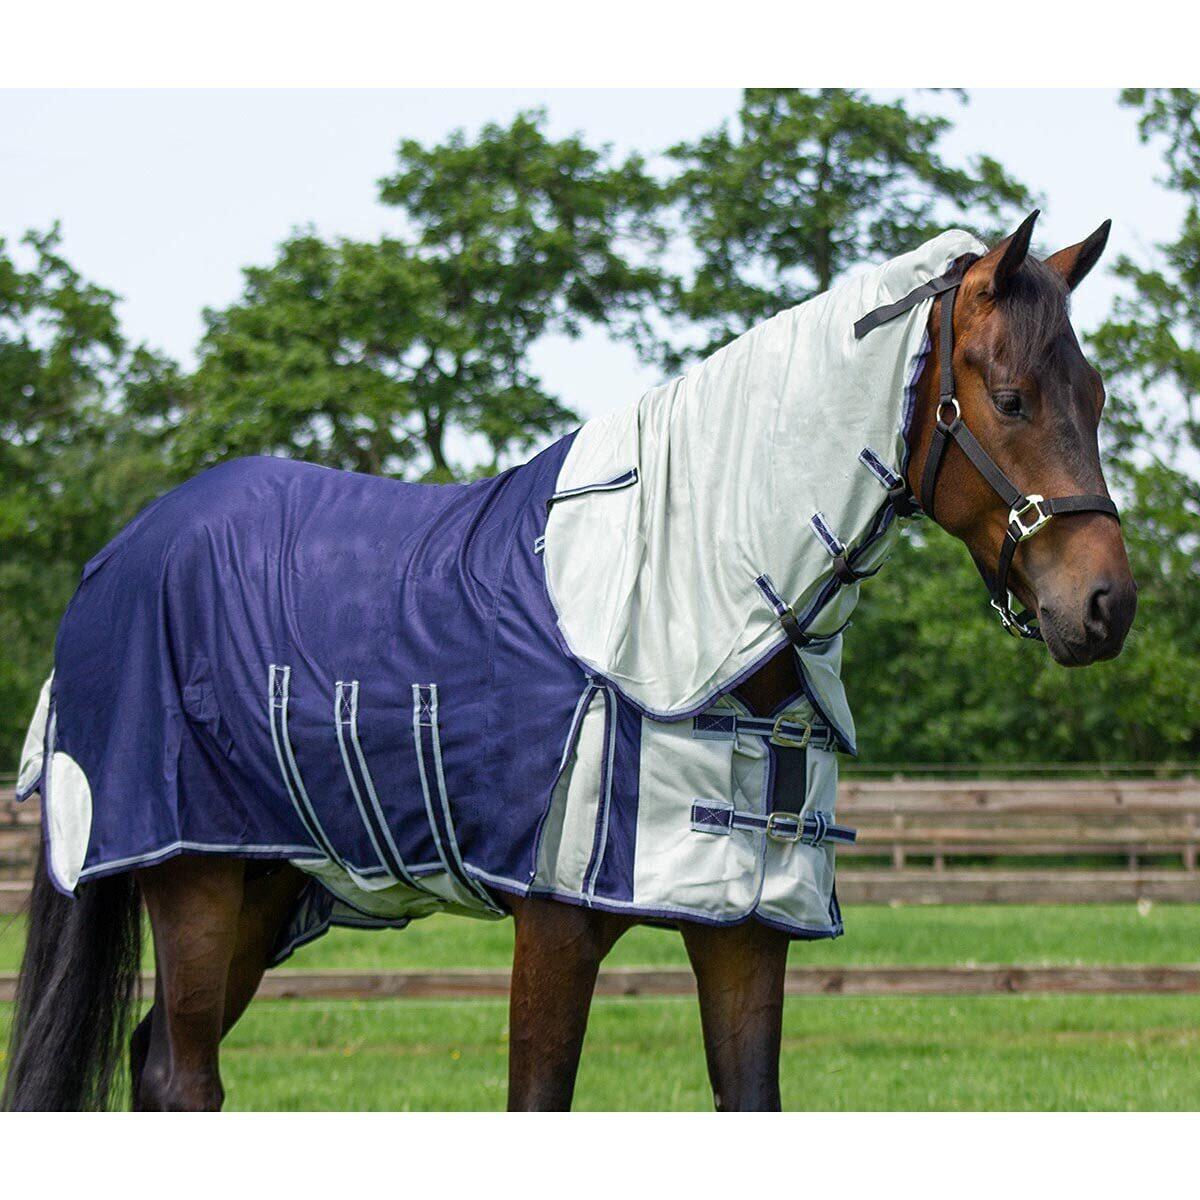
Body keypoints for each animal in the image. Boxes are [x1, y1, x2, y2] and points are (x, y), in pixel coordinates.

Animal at [3, 212, 1136, 1111]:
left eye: (1095, 395)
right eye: (1011, 397)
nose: (1106, 606)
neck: (691, 592)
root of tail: (118, 556)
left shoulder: (743, 927)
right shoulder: (551, 934)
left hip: (265, 881)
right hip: (192, 879)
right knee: (181, 1073)